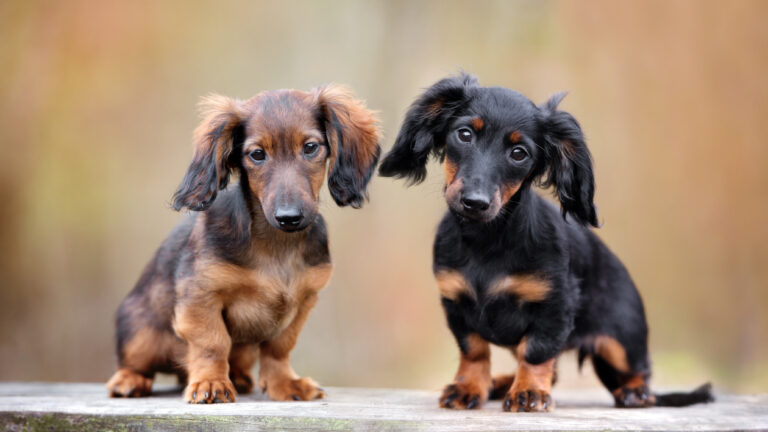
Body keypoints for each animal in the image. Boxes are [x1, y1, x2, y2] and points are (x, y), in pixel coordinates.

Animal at [106, 85, 382, 404]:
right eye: (257, 154)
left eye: (311, 147)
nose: (289, 217)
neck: (277, 244)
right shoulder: (201, 296)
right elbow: (213, 342)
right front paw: (211, 383)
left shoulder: (303, 301)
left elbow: (279, 346)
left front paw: (285, 383)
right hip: (142, 337)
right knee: (135, 363)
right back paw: (130, 380)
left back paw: (237, 377)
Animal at [378, 73, 712, 412]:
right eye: (464, 134)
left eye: (519, 153)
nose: (475, 202)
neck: (489, 239)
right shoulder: (455, 302)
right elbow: (474, 351)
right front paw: (469, 387)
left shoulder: (555, 305)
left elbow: (537, 352)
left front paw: (529, 392)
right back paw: (500, 383)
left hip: (622, 340)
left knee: (638, 371)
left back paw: (635, 392)